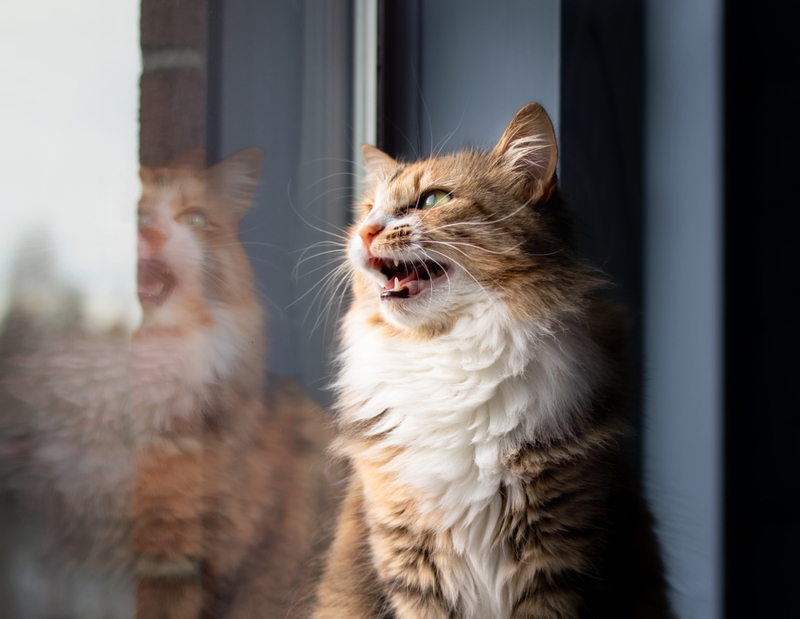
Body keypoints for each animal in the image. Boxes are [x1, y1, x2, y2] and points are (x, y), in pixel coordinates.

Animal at [312, 104, 676, 616]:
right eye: (367, 211)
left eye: (432, 200)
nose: (365, 232)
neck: (448, 354)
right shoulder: (410, 559)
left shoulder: (557, 555)